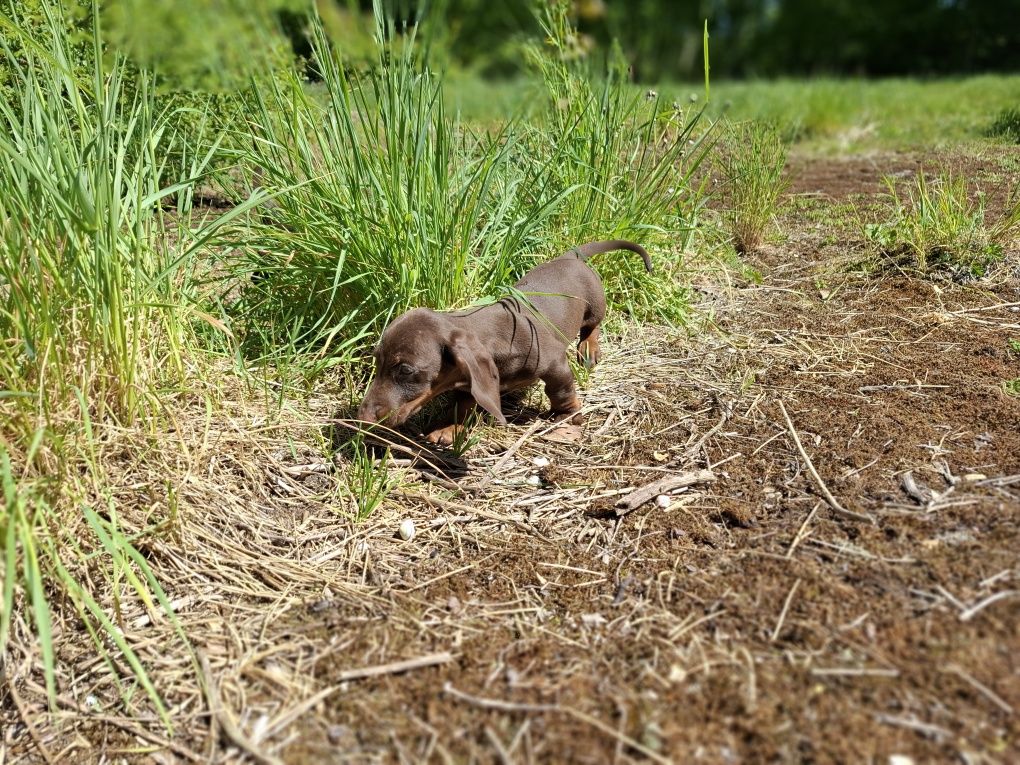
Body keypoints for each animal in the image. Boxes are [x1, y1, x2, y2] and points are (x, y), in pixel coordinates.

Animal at [354, 238, 648, 442]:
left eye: (406, 370)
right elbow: (463, 404)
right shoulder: (466, 380)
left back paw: (588, 348)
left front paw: (566, 415)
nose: (362, 419)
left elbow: (560, 391)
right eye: (377, 362)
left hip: (595, 304)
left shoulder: (555, 364)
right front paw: (449, 427)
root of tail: (570, 256)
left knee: (593, 325)